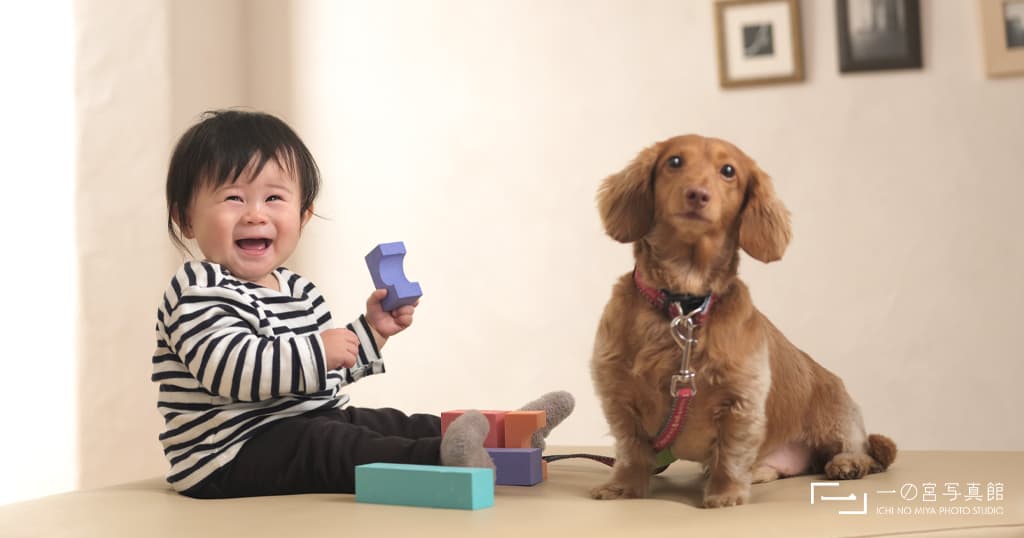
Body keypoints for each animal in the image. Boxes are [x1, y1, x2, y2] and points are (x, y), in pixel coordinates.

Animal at [593, 135, 897, 508]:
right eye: (674, 161)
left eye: (728, 171)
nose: (697, 194)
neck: (684, 307)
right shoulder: (618, 396)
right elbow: (631, 450)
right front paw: (622, 487)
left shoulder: (742, 399)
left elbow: (731, 452)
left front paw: (725, 494)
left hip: (837, 417)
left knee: (862, 450)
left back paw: (848, 463)